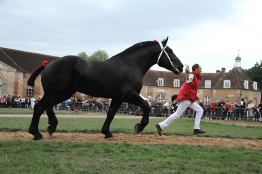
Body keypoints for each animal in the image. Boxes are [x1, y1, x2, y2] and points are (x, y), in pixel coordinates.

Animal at [26, 37, 182, 140]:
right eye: (170, 50)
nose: (180, 66)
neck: (130, 65)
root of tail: (49, 64)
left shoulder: (117, 97)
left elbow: (111, 113)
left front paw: (106, 132)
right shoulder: (127, 95)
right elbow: (146, 106)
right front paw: (140, 126)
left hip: (57, 93)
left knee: (46, 107)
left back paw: (51, 127)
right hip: (60, 93)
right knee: (40, 107)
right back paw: (36, 133)